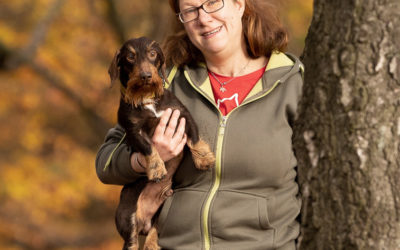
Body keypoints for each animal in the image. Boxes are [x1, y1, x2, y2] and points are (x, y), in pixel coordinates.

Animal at [107, 37, 216, 250]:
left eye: (152, 54)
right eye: (130, 56)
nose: (146, 76)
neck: (147, 98)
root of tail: (143, 222)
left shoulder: (182, 114)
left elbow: (194, 138)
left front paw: (204, 159)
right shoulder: (134, 130)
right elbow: (148, 146)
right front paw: (157, 168)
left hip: (164, 207)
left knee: (155, 230)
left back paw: (152, 243)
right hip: (126, 215)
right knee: (132, 242)